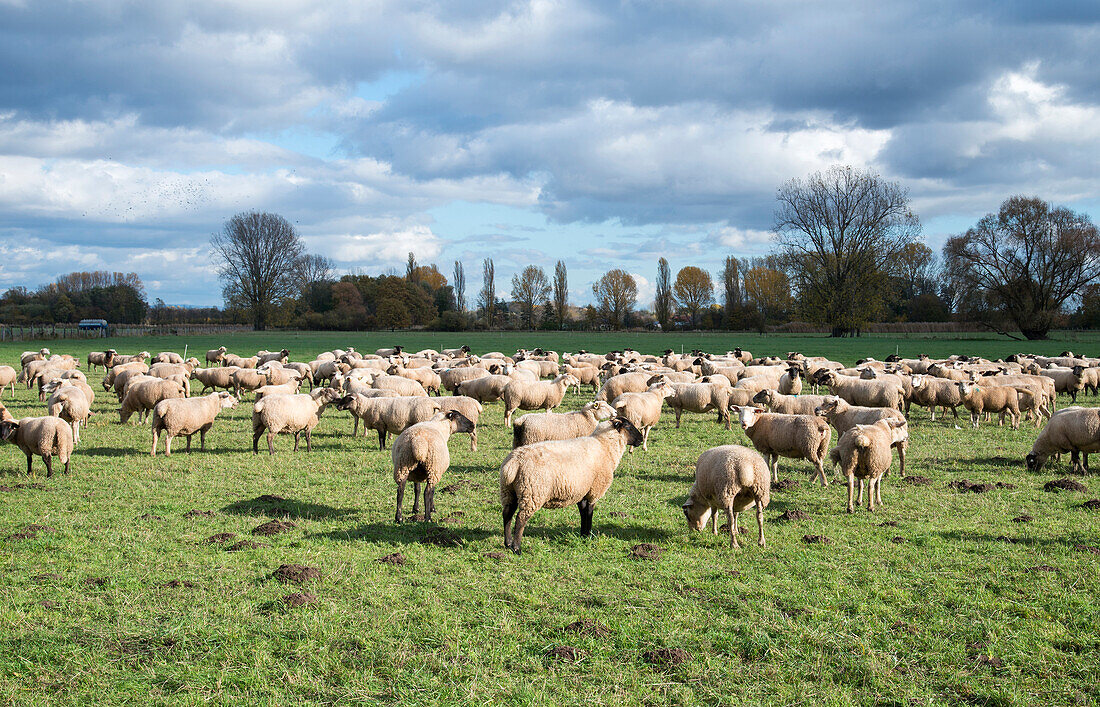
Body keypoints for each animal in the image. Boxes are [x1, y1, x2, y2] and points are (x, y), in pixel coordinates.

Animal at [501, 417, 642, 556]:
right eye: (628, 426)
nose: (641, 438)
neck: (605, 446)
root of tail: (515, 461)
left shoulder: (583, 492)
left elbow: (583, 513)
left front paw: (583, 535)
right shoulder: (593, 492)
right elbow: (589, 513)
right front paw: (588, 536)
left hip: (510, 491)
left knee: (507, 514)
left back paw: (508, 543)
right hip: (532, 492)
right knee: (520, 519)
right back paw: (517, 548)